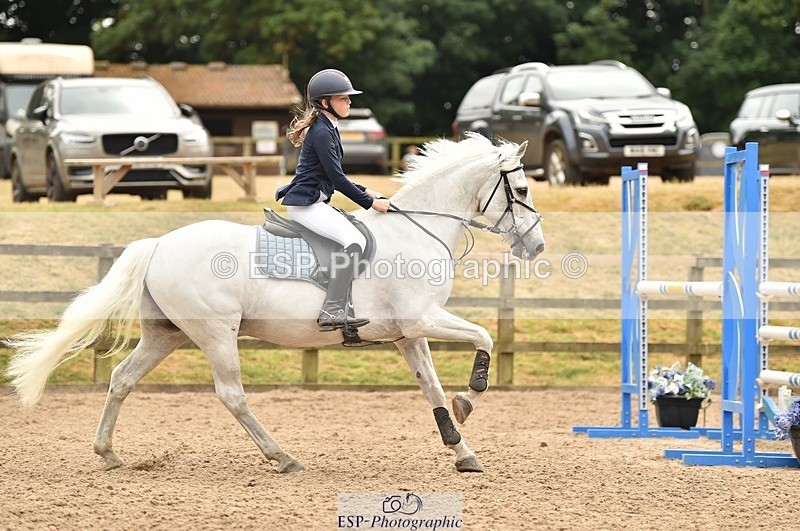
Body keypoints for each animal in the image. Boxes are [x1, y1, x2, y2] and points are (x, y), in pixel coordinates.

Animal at [5, 133, 545, 473]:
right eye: (520, 189)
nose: (536, 247)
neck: (417, 230)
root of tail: (159, 243)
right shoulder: (424, 319)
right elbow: (484, 336)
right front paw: (469, 399)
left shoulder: (408, 334)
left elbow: (430, 388)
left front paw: (462, 450)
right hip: (216, 334)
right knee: (232, 395)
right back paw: (282, 457)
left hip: (166, 334)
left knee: (122, 379)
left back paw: (108, 453)